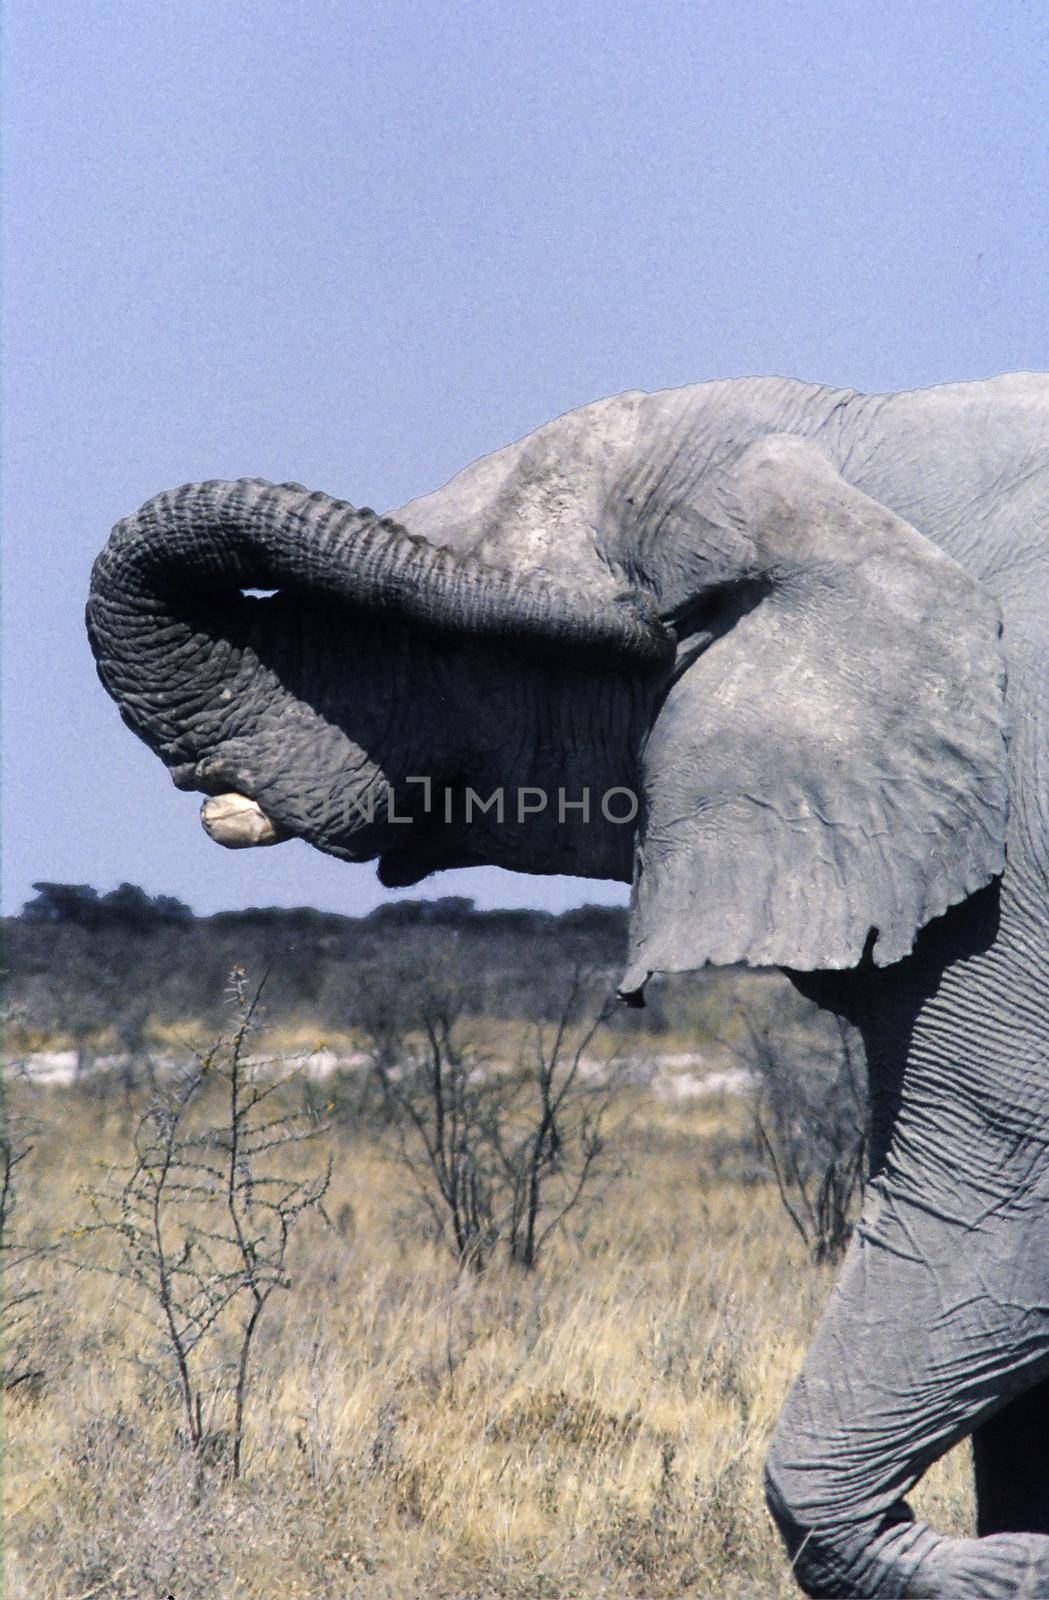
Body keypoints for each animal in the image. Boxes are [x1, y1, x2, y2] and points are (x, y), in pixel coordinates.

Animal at [87, 374, 1049, 1600]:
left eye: (436, 641)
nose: (655, 619)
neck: (844, 441)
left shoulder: (1020, 868)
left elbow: (991, 1200)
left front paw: (1005, 1561)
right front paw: (1015, 1550)